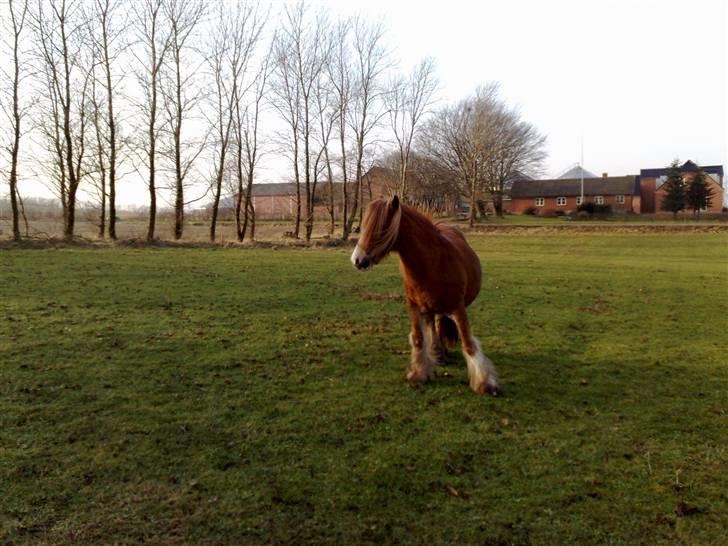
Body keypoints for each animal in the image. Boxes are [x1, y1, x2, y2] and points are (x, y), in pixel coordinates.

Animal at [348, 196, 498, 396]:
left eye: (382, 227)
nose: (357, 260)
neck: (433, 263)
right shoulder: (413, 305)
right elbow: (419, 339)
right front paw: (418, 373)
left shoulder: (458, 308)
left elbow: (468, 343)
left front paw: (485, 383)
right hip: (428, 308)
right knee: (433, 326)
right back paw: (438, 353)